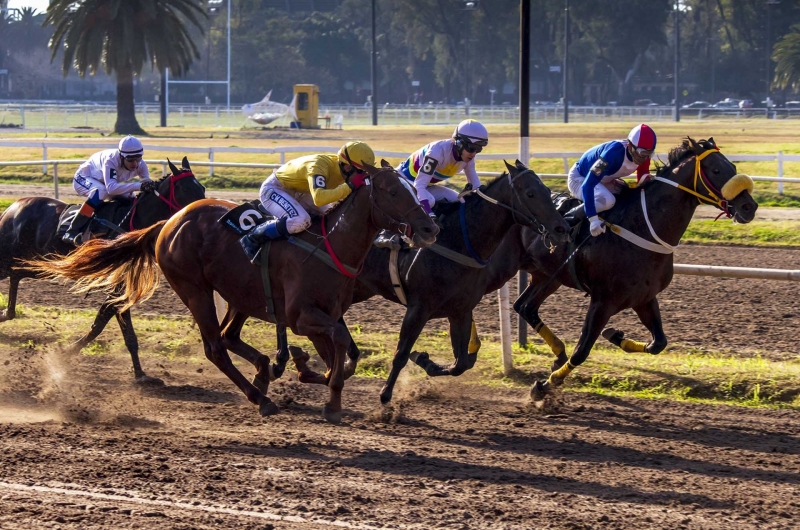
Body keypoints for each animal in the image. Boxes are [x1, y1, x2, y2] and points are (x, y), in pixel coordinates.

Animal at [1, 158, 206, 384]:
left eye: (202, 187)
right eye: (185, 188)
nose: (203, 211)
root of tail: (11, 208)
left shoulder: (122, 285)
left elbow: (112, 322)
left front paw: (141, 375)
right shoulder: (117, 283)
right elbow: (104, 319)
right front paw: (67, 353)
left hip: (38, 265)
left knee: (16, 277)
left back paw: (7, 313)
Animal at [32, 160, 438, 420]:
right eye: (391, 190)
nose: (429, 228)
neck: (331, 245)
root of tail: (170, 222)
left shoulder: (328, 314)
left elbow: (343, 354)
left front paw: (311, 376)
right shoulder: (301, 316)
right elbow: (338, 345)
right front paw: (325, 393)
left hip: (239, 292)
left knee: (228, 336)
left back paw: (263, 372)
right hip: (194, 289)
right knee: (215, 347)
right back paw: (260, 396)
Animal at [340, 160, 572, 400]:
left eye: (547, 191)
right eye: (530, 193)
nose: (562, 228)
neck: (459, 242)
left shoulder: (460, 310)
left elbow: (461, 364)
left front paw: (424, 360)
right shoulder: (419, 308)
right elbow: (401, 354)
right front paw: (386, 395)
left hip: (360, 288)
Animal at [516, 136, 760, 400]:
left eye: (732, 167)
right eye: (715, 170)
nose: (749, 207)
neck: (642, 228)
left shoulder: (644, 297)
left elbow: (658, 343)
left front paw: (614, 335)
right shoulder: (602, 301)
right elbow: (581, 351)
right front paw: (546, 384)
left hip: (548, 276)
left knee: (525, 307)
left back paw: (558, 352)